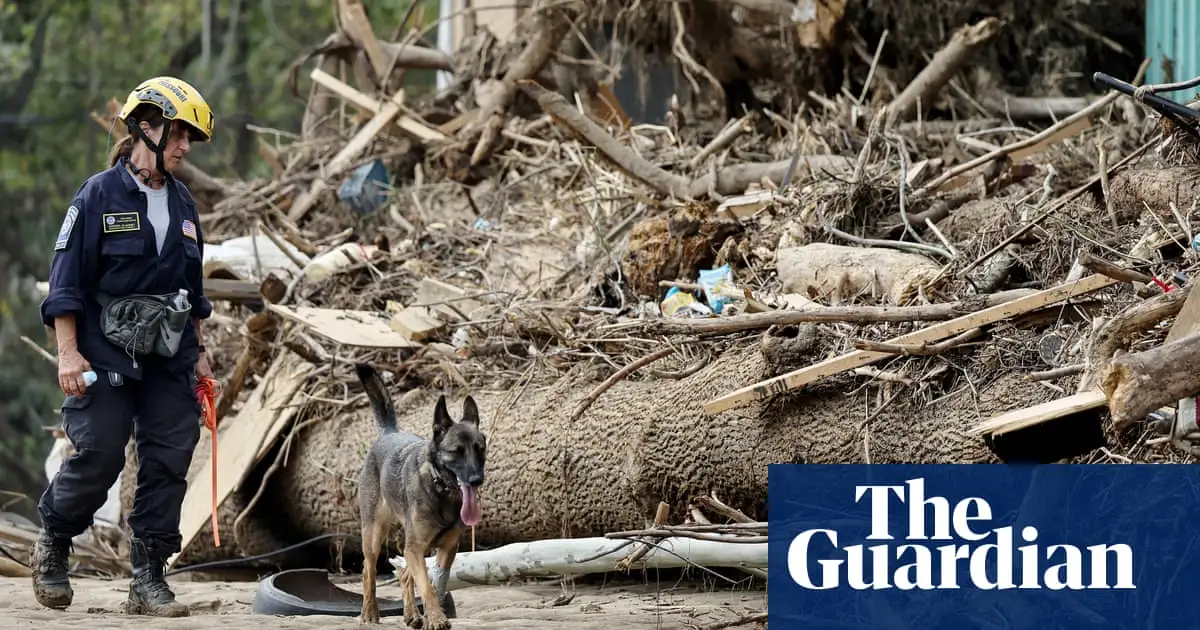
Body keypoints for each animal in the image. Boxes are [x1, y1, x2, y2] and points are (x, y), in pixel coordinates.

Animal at [352, 360, 489, 624]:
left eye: (480, 449)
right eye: (456, 451)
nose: (476, 480)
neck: (441, 490)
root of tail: (389, 432)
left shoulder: (445, 549)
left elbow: (435, 583)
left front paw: (432, 615)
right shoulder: (415, 547)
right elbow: (425, 586)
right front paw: (436, 619)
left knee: (405, 573)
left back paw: (412, 615)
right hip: (374, 535)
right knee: (369, 571)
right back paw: (370, 612)